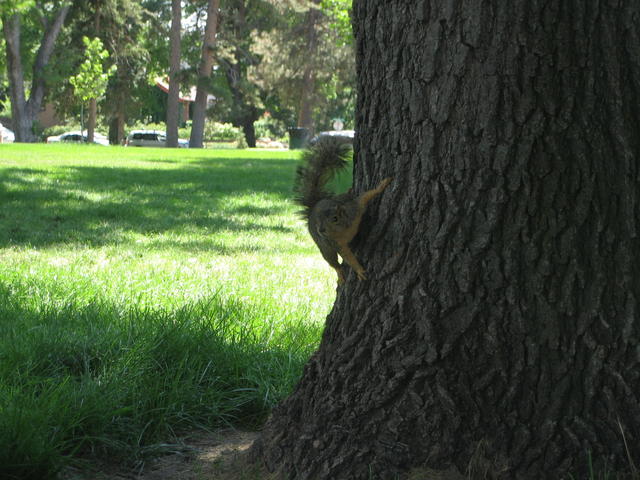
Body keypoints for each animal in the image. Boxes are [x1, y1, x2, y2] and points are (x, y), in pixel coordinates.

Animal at [294, 136, 392, 283]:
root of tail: (313, 208)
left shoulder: (354, 210)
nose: (321, 230)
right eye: (317, 223)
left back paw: (349, 191)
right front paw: (359, 270)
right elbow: (347, 257)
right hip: (324, 247)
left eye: (335, 218)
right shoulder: (336, 244)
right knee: (331, 260)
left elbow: (365, 197)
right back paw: (339, 272)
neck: (343, 230)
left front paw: (382, 185)